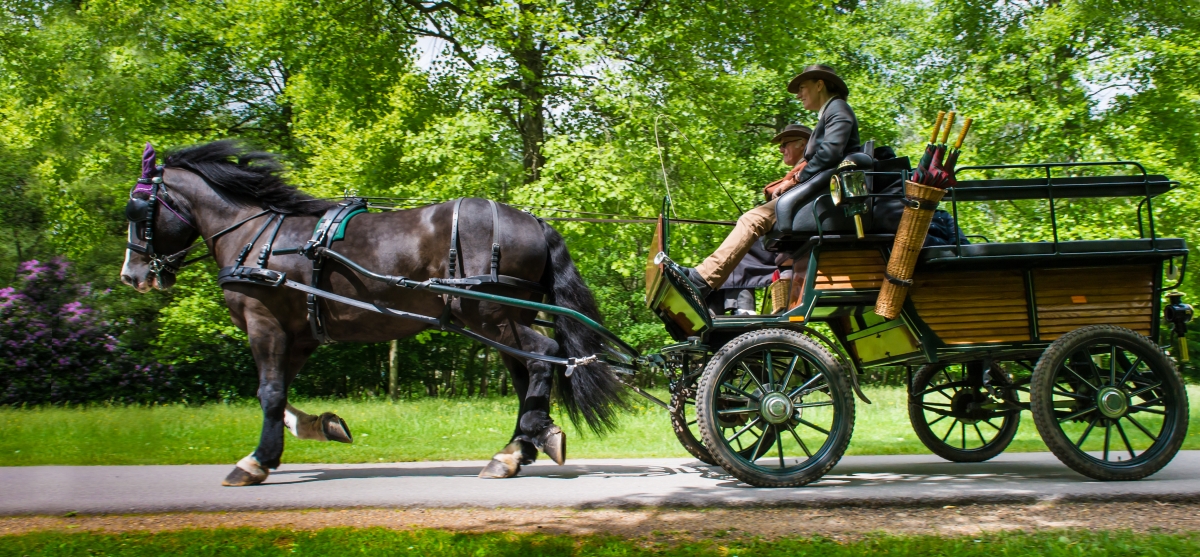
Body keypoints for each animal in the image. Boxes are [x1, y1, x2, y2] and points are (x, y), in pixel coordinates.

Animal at [119, 141, 628, 484]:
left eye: (138, 209)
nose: (132, 275)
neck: (257, 238)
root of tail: (534, 220)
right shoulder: (299, 331)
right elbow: (278, 394)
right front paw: (319, 426)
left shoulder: (264, 321)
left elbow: (268, 392)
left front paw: (255, 461)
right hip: (502, 318)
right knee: (530, 374)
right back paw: (516, 449)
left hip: (488, 313)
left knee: (543, 358)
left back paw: (524, 443)